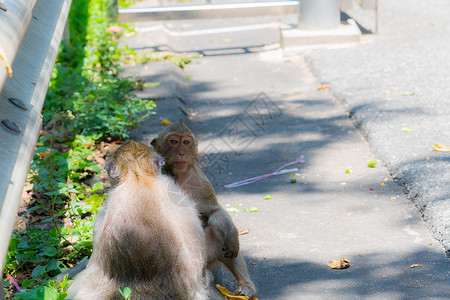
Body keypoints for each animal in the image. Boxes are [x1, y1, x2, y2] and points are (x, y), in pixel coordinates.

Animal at [151, 120, 256, 298]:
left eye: (186, 142)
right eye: (174, 141)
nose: (181, 153)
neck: (178, 176)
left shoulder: (201, 182)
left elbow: (214, 212)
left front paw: (232, 234)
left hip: (209, 254)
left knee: (217, 230)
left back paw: (245, 286)